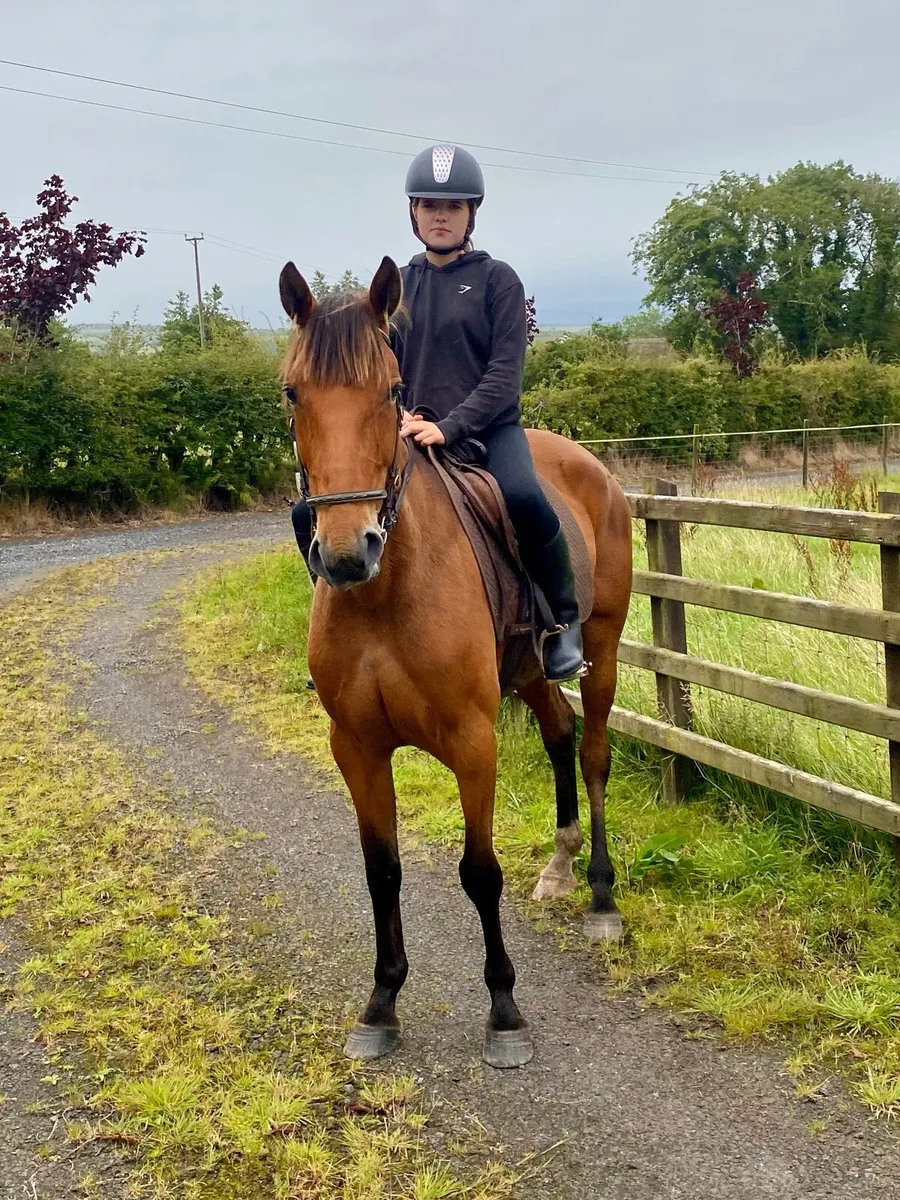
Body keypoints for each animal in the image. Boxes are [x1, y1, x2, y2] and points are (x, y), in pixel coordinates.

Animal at [279, 256, 633, 1069]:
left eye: (391, 391)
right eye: (292, 393)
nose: (347, 553)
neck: (386, 593)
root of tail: (590, 465)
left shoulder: (473, 742)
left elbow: (479, 871)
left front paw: (504, 1011)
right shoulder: (356, 746)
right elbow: (381, 870)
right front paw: (381, 1002)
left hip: (602, 650)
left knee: (593, 753)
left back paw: (601, 897)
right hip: (529, 672)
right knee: (560, 734)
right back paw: (560, 864)